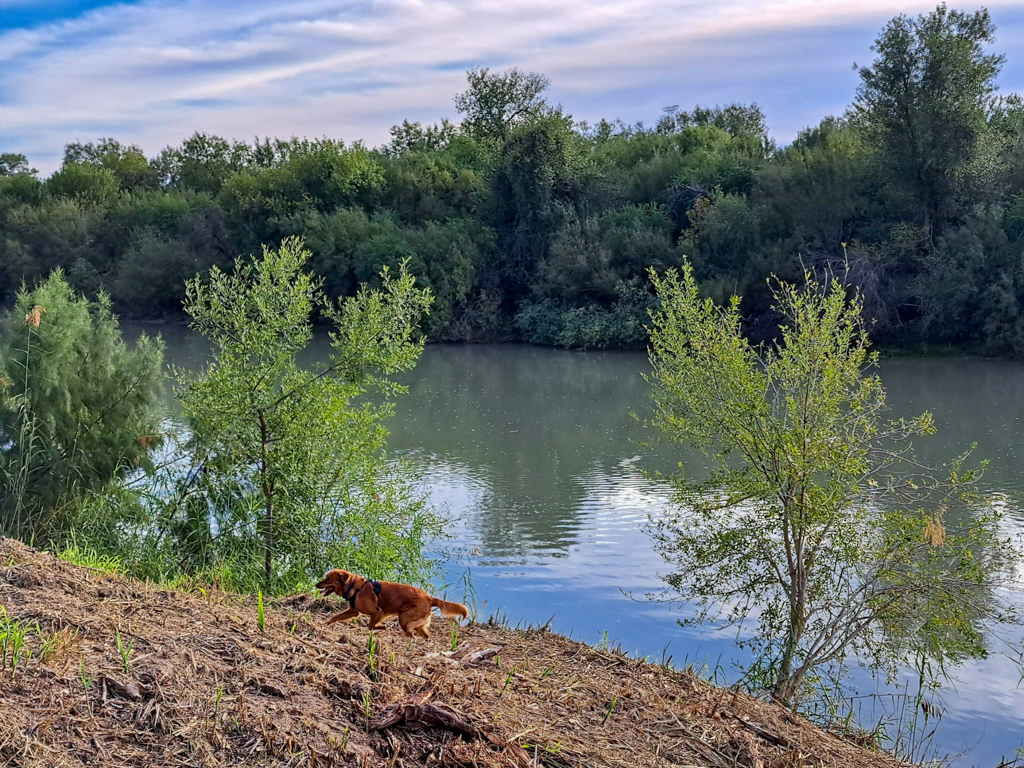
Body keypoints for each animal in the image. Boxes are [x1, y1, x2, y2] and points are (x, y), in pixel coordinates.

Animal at [313, 569, 468, 638]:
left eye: (328, 579)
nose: (316, 584)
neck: (355, 587)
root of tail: (429, 597)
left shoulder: (377, 612)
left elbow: (371, 626)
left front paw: (382, 627)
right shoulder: (354, 611)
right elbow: (335, 617)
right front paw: (324, 624)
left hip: (404, 618)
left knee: (410, 633)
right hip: (416, 622)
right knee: (425, 635)